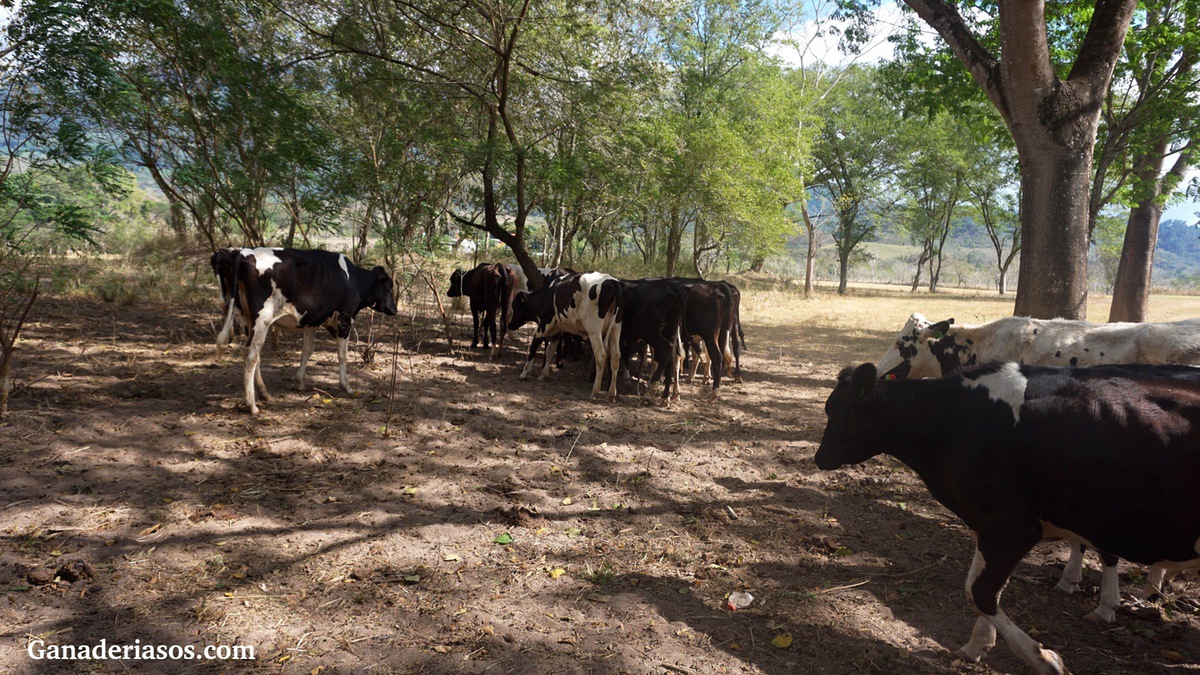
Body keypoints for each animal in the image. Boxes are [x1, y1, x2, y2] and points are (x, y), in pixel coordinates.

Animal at [223, 247, 396, 413]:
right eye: (388, 287)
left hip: (247, 318)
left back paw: (264, 394)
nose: (394, 310)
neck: (353, 280)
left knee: (252, 352)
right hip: (262, 320)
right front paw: (346, 386)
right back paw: (252, 405)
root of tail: (243, 253)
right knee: (251, 355)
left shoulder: (312, 321)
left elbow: (307, 350)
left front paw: (299, 381)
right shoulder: (345, 319)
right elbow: (342, 354)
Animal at [506, 270, 624, 398]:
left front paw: (524, 372)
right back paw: (611, 394)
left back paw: (595, 391)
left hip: (594, 330)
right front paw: (543, 374)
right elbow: (549, 351)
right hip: (615, 329)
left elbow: (534, 346)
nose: (510, 325)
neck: (547, 294)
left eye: (515, 307)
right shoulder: (557, 330)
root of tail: (612, 282)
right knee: (616, 356)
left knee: (601, 356)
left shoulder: (543, 326)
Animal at [816, 362, 1200, 672]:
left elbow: (980, 591)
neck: (956, 421)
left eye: (834, 410)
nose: (819, 458)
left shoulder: (1013, 526)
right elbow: (986, 590)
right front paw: (976, 646)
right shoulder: (988, 525)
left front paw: (1044, 659)